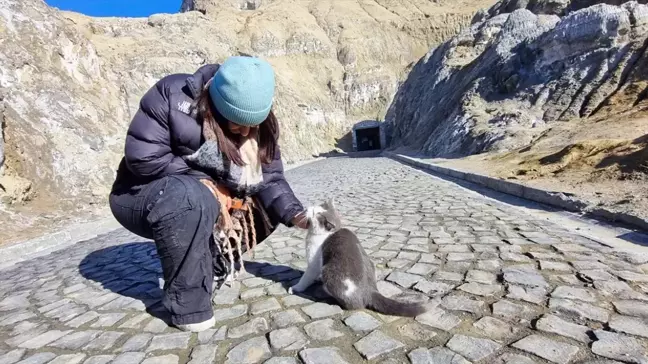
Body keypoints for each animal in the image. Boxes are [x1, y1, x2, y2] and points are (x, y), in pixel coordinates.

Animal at [288, 199, 430, 316]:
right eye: (314, 207)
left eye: (314, 213)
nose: (307, 208)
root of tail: (371, 291)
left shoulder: (314, 262)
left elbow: (306, 277)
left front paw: (296, 288)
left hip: (329, 271)